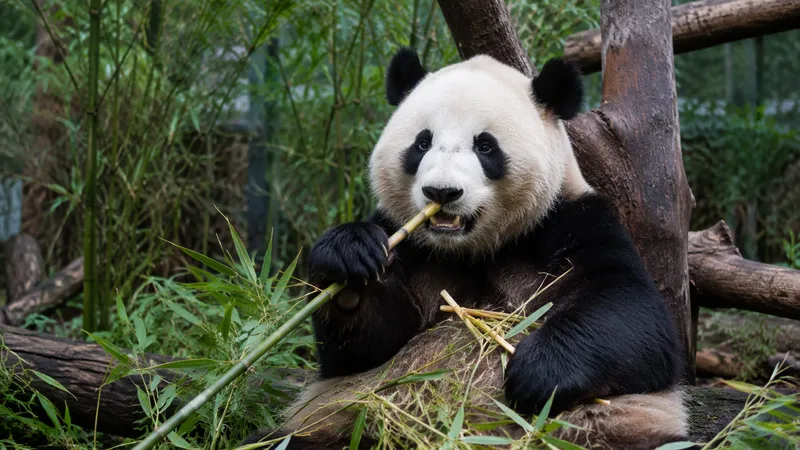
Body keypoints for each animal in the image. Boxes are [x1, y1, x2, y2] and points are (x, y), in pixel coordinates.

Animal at [242, 48, 689, 450]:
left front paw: (536, 371)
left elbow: (637, 317)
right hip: (334, 426)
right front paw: (350, 262)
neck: (473, 249)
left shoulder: (572, 221)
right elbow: (361, 350)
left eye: (485, 146)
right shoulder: (407, 243)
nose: (442, 192)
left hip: (611, 431)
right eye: (422, 143)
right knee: (276, 440)